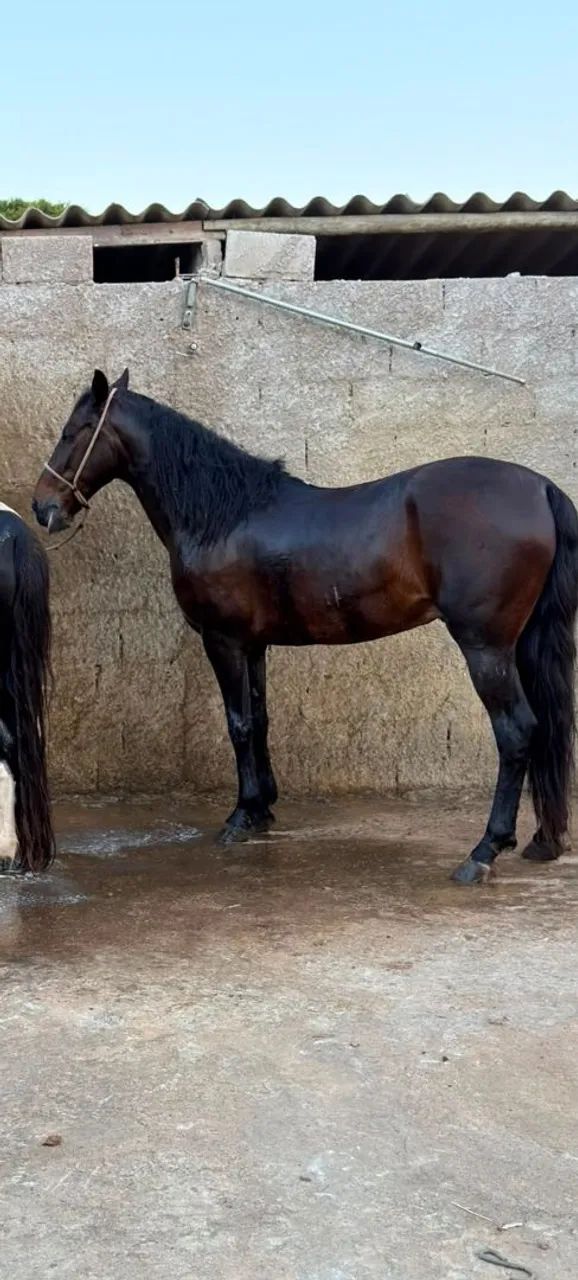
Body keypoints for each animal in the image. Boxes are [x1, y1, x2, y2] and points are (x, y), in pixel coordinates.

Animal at [32, 368, 578, 884]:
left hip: (485, 648)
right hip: (520, 644)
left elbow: (238, 724)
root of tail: (540, 487)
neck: (224, 516)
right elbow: (259, 720)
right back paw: (541, 841)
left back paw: (484, 852)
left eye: (73, 431)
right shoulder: (253, 645)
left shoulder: (223, 641)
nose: (43, 507)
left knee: (516, 732)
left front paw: (239, 817)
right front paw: (261, 810)